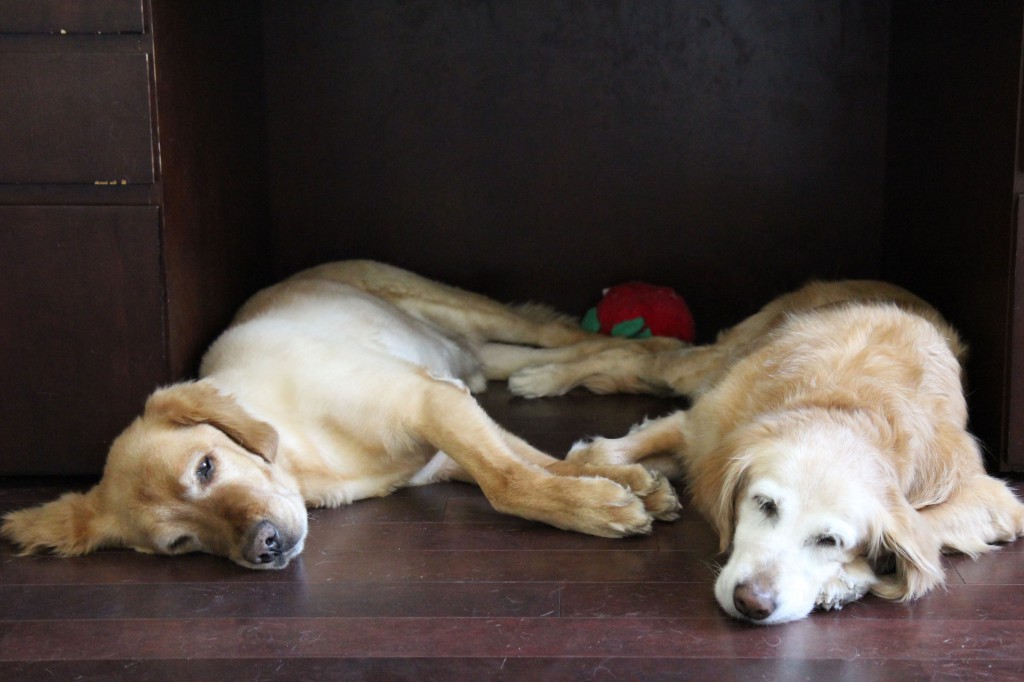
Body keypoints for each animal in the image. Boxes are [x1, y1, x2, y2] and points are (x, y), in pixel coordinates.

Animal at [2, 260, 679, 569]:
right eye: (181, 544)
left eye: (205, 467)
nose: (265, 549)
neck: (302, 453)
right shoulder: (443, 439)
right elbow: (534, 462)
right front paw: (617, 482)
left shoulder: (431, 401)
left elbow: (510, 480)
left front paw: (597, 506)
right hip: (486, 360)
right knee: (583, 353)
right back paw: (627, 366)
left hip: (474, 316)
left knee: (566, 332)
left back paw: (672, 349)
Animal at [493, 278, 1024, 622]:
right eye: (764, 504)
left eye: (830, 541)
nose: (753, 604)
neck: (848, 408)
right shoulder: (702, 426)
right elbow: (598, 456)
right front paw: (638, 488)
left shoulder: (993, 498)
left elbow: (925, 526)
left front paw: (845, 580)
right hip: (708, 364)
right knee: (635, 350)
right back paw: (534, 372)